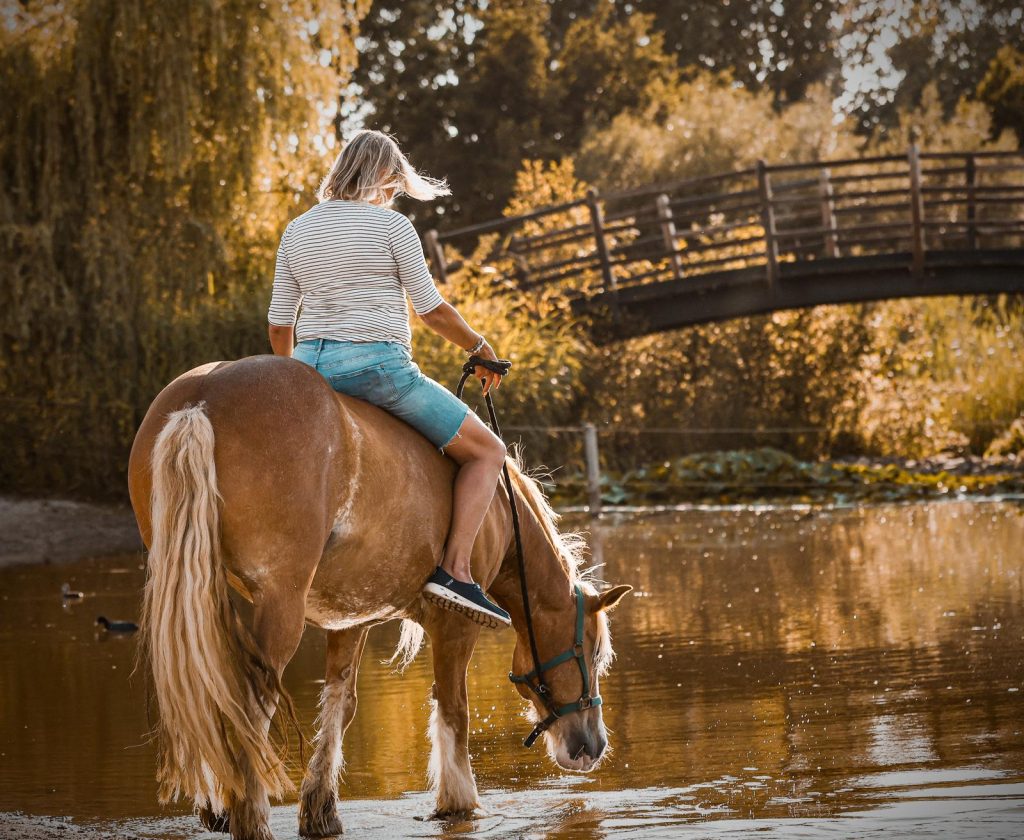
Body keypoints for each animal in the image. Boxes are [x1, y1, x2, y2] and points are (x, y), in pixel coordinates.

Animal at [127, 354, 631, 840]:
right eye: (592, 652)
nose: (592, 746)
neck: (499, 513)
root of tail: (201, 398)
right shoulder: (456, 626)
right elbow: (453, 712)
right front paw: (458, 805)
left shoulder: (348, 621)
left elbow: (339, 706)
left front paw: (321, 810)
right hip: (279, 605)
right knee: (250, 708)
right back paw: (250, 819)